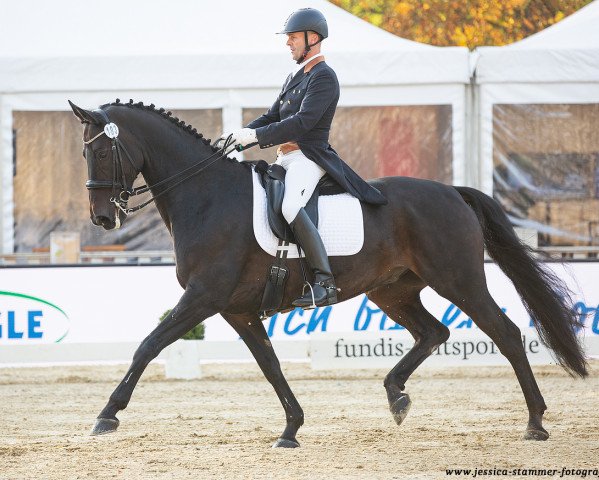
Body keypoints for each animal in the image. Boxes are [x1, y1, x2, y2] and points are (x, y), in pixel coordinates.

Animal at [68, 99, 588, 448]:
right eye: (84, 154)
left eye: (103, 152)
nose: (103, 219)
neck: (206, 195)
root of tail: (454, 192)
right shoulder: (237, 309)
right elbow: (270, 365)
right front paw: (291, 428)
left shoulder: (204, 297)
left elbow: (148, 345)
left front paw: (107, 415)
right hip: (392, 291)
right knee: (433, 332)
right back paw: (397, 396)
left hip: (459, 281)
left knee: (505, 333)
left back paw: (535, 423)